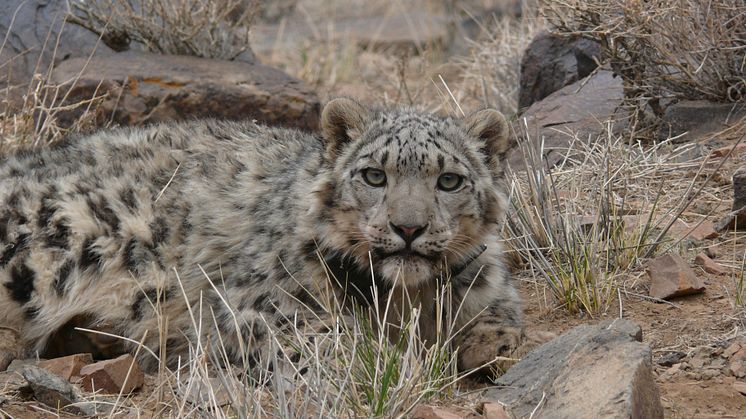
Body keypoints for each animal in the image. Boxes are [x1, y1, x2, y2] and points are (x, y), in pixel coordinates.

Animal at [0, 97, 524, 378]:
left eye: (450, 181)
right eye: (374, 175)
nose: (409, 228)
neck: (403, 298)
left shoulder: (487, 282)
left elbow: (501, 313)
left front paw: (494, 348)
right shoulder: (254, 304)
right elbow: (320, 335)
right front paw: (386, 359)